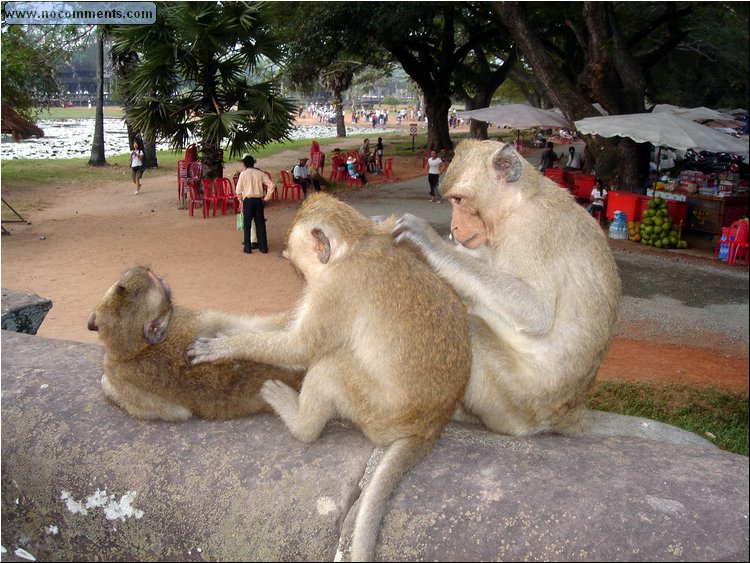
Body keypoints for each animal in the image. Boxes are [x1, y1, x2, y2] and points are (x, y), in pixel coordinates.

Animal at [188, 193, 470, 560]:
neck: (357, 242)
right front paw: (220, 325)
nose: (305, 280)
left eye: (299, 267)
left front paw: (225, 346)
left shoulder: (334, 288)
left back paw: (299, 421)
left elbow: (300, 348)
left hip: (375, 412)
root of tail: (432, 425)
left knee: (329, 368)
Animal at [394, 139, 624, 438]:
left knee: (472, 327)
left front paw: (428, 242)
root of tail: (568, 415)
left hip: (516, 404)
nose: (454, 227)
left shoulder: (534, 230)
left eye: (459, 200)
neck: (515, 207)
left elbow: (536, 312)